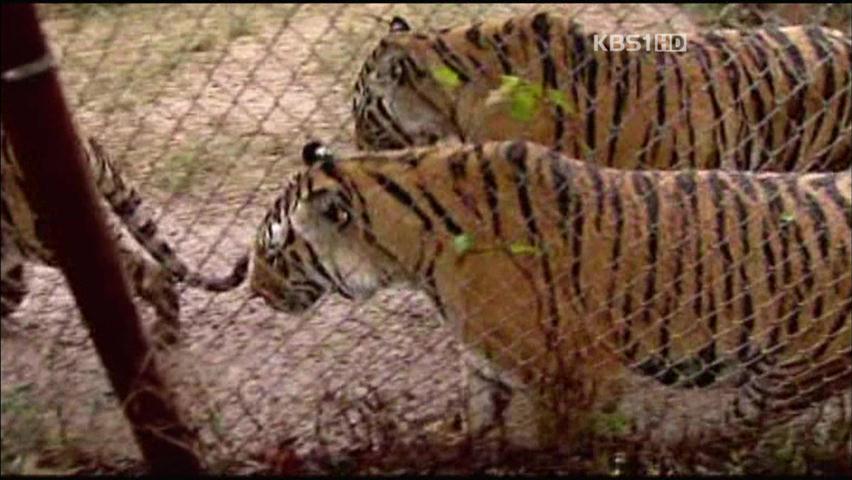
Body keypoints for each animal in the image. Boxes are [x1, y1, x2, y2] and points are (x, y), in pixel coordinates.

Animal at [251, 138, 852, 450]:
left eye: (274, 250)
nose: (254, 291)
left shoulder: (573, 376)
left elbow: (555, 444)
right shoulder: (485, 362)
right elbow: (476, 420)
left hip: (792, 374)